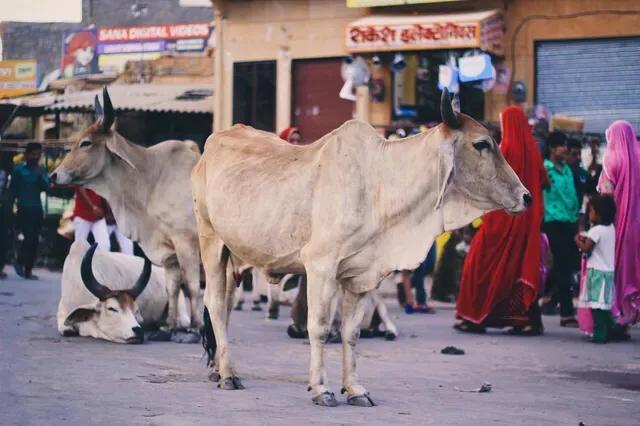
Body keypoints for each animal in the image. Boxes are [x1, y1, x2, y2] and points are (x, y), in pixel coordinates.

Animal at [191, 90, 528, 406]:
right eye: (482, 144)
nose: (526, 196)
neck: (380, 185)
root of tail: (212, 143)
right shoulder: (320, 266)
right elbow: (319, 327)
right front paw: (321, 389)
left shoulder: (362, 275)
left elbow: (351, 333)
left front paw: (354, 389)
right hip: (211, 242)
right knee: (215, 304)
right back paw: (229, 375)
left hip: (234, 255)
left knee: (226, 306)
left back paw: (219, 369)